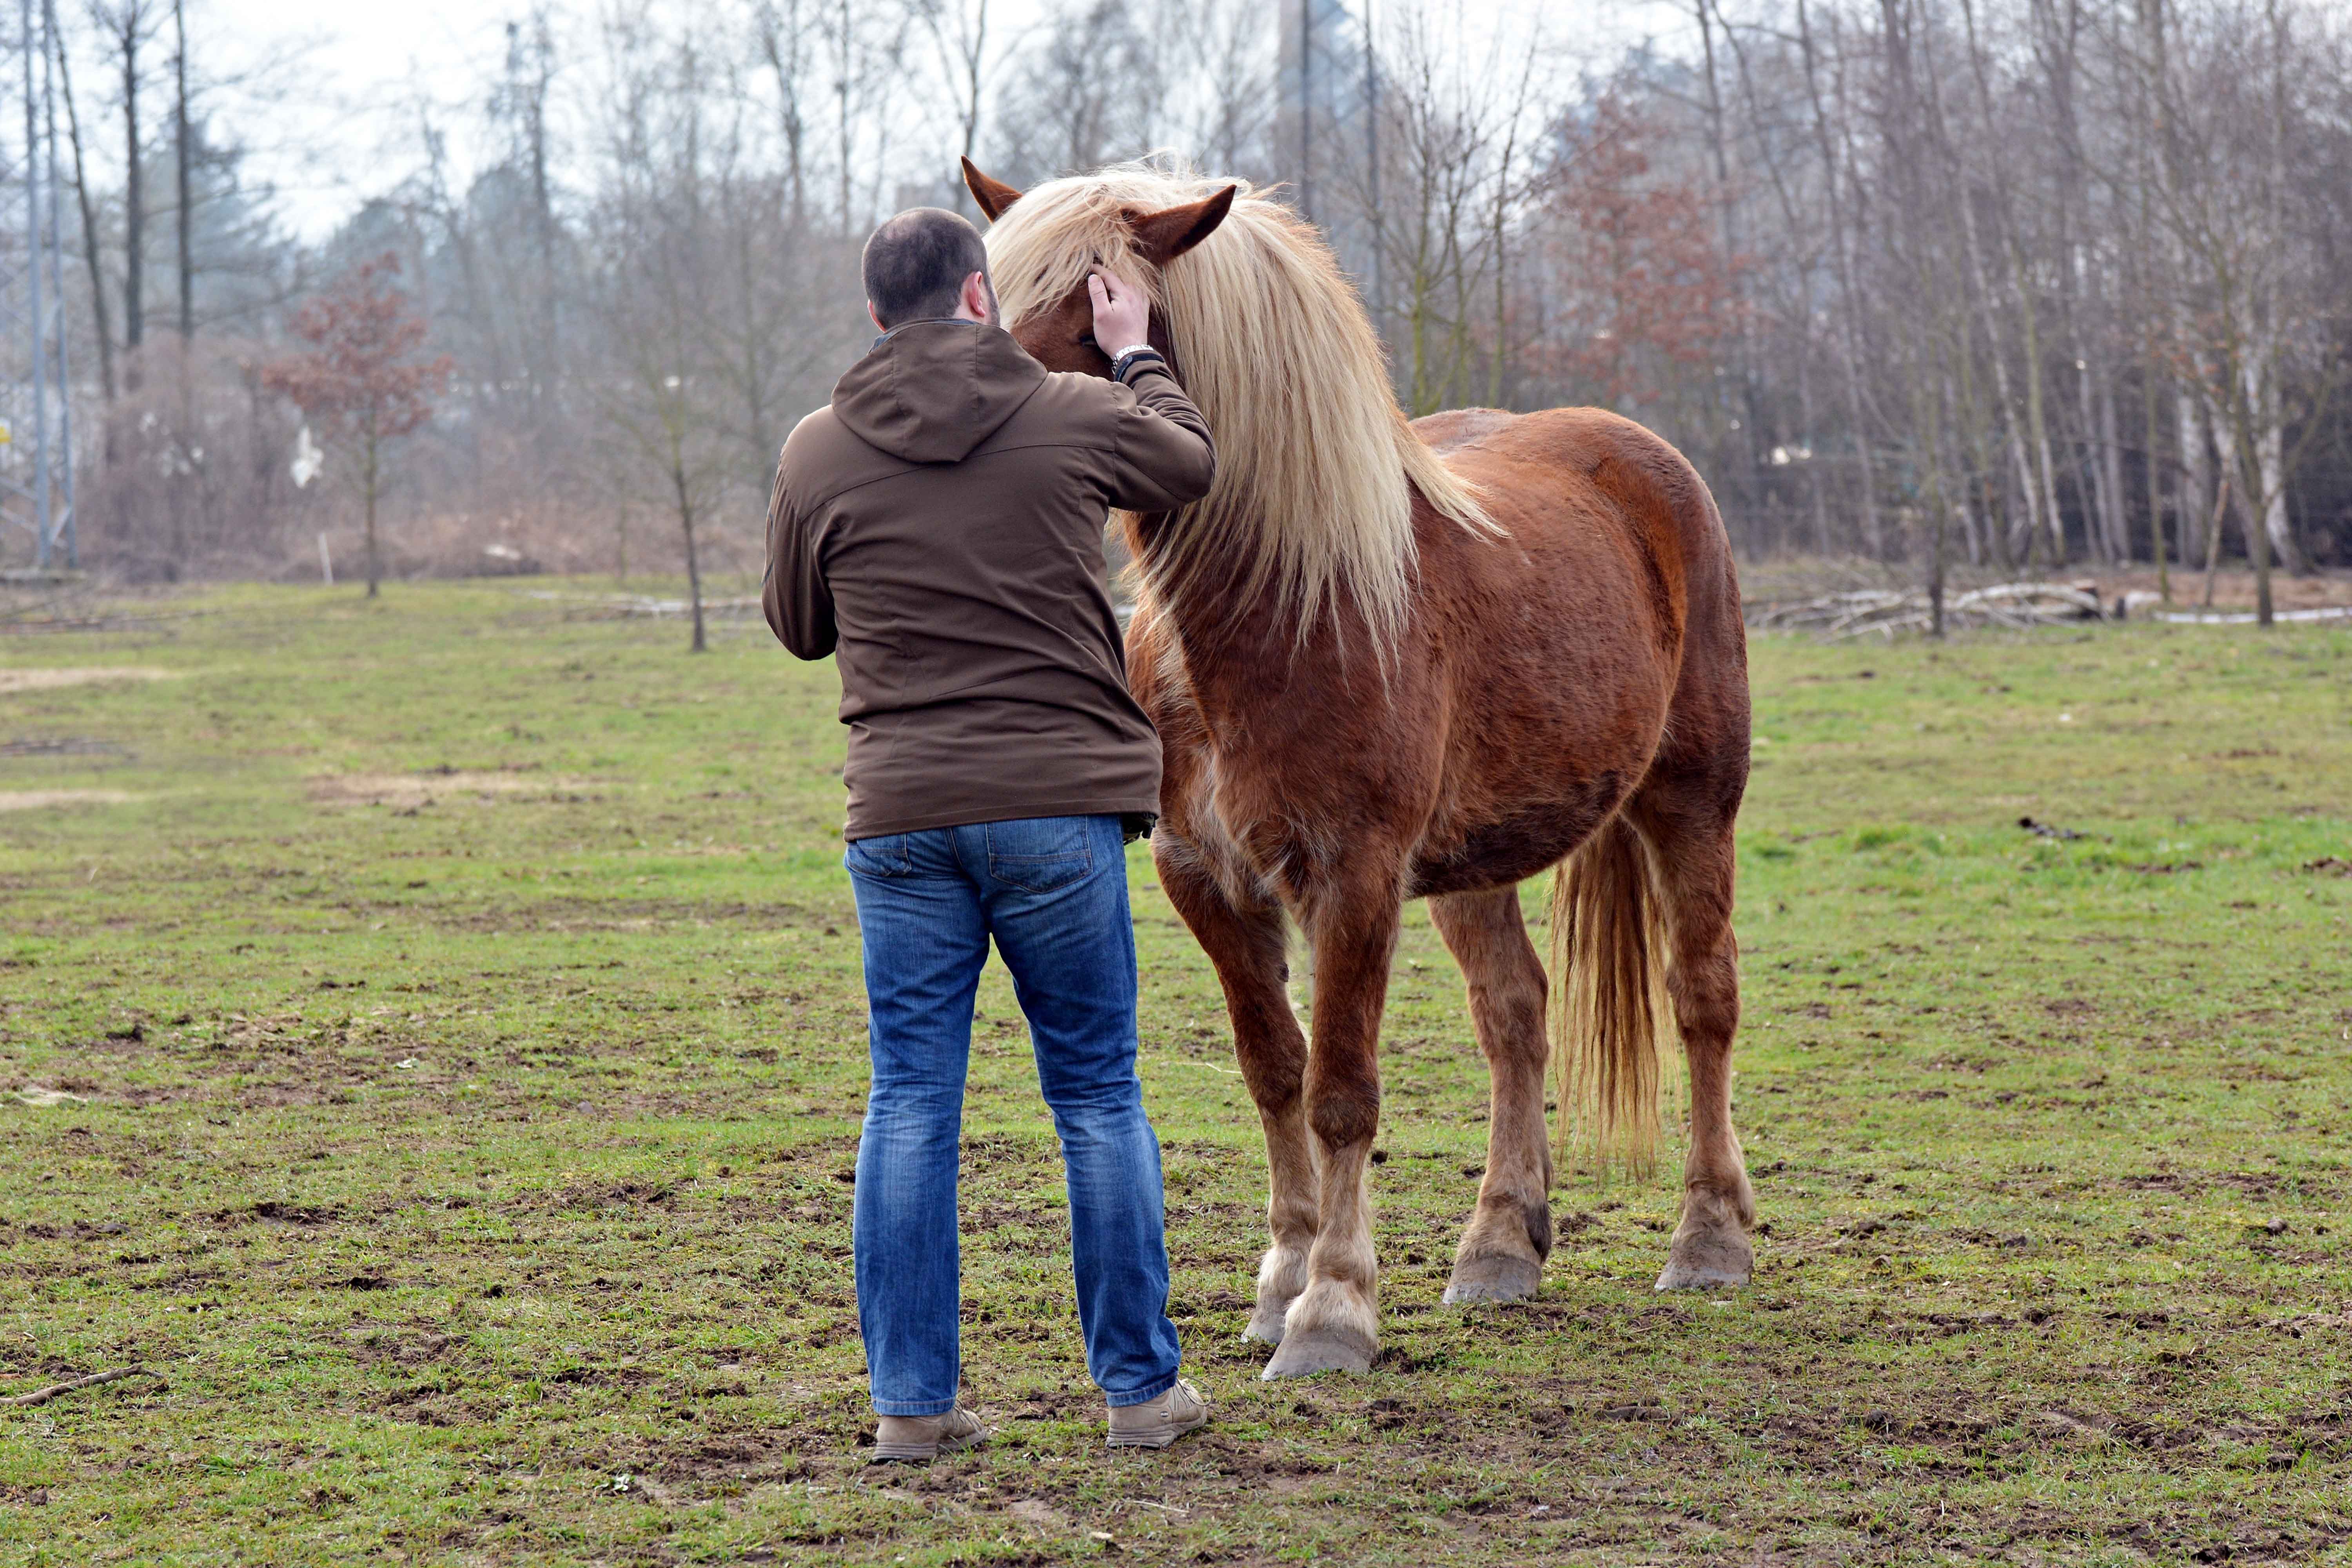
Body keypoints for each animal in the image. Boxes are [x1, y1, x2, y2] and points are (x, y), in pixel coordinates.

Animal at [962, 157, 1756, 1379]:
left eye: (1090, 308)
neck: (1289, 603)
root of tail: (1651, 466)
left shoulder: (1355, 874)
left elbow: (1340, 1091)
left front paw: (1331, 1310)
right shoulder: (1205, 878)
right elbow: (1274, 1070)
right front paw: (1281, 1281)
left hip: (1692, 805)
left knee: (1701, 998)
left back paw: (1709, 1238)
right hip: (1478, 859)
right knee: (1514, 1014)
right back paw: (1497, 1248)